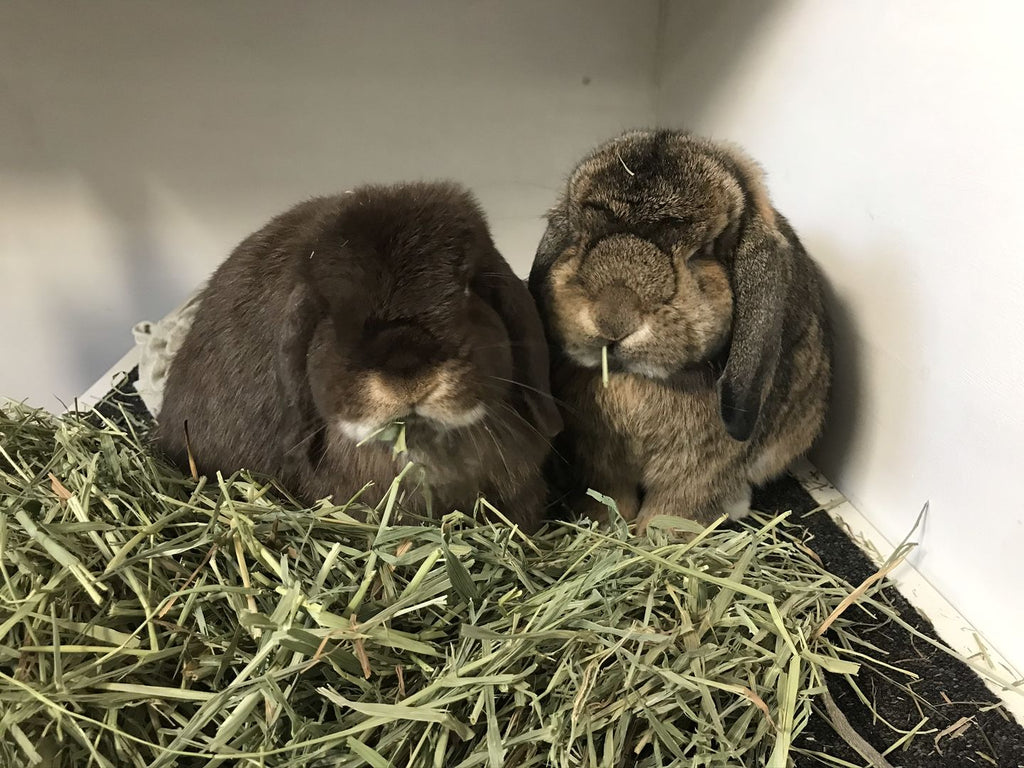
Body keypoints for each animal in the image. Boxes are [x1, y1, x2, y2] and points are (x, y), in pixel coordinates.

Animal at [528, 129, 832, 531]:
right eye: (578, 236)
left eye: (703, 252)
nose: (614, 317)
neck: (635, 379)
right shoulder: (598, 456)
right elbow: (610, 495)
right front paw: (604, 524)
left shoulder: (699, 469)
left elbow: (671, 510)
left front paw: (654, 537)